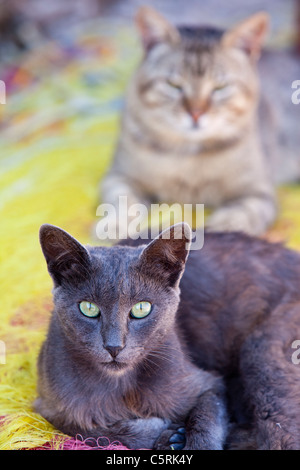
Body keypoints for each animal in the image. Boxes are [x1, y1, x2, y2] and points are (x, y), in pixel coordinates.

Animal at [36, 222, 300, 450]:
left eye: (142, 308)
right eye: (88, 308)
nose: (114, 346)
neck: (122, 386)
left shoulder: (209, 385)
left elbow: (207, 417)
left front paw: (184, 437)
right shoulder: (52, 405)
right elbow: (88, 427)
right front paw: (167, 432)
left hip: (263, 351)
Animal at [100, 8, 276, 239]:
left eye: (220, 87)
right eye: (174, 84)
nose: (196, 113)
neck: (189, 154)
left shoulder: (258, 192)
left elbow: (239, 213)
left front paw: (222, 230)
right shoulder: (120, 176)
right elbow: (125, 203)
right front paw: (115, 224)